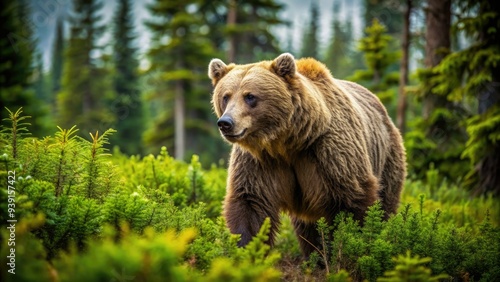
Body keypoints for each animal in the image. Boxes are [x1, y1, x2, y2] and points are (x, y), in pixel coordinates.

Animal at [207, 52, 406, 256]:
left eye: (250, 96)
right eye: (226, 96)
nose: (226, 123)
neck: (287, 143)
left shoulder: (328, 152)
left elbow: (352, 201)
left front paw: (347, 247)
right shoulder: (260, 161)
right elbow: (250, 203)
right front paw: (245, 250)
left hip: (387, 157)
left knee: (386, 201)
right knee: (307, 228)